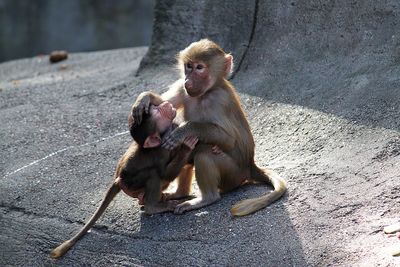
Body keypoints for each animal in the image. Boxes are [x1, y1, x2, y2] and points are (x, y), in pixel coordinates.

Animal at [50, 99, 198, 260]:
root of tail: (119, 179)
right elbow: (166, 173)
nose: (165, 104)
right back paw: (153, 206)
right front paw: (186, 146)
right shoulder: (162, 150)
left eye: (155, 107)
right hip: (132, 183)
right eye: (158, 111)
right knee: (154, 175)